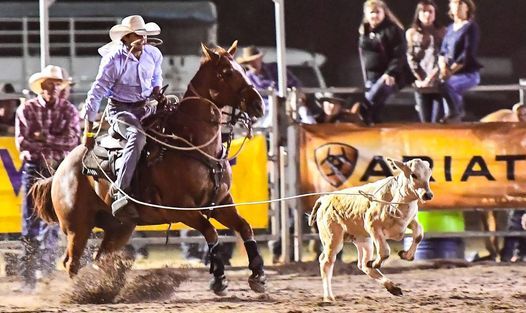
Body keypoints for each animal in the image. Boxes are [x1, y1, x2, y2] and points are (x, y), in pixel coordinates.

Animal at [31, 42, 266, 294]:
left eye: (242, 70)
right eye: (226, 73)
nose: (259, 104)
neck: (192, 143)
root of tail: (60, 172)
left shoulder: (221, 202)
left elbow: (245, 227)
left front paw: (258, 275)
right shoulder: (182, 210)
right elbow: (210, 231)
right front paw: (219, 278)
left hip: (120, 227)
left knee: (100, 258)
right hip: (78, 227)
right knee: (71, 262)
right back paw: (80, 293)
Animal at [310, 157, 434, 302]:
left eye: (429, 175)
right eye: (413, 175)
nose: (427, 195)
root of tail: (324, 199)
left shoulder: (409, 221)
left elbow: (418, 234)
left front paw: (405, 255)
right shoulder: (373, 226)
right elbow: (385, 251)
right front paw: (375, 263)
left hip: (363, 240)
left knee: (362, 264)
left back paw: (392, 287)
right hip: (333, 238)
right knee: (326, 262)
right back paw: (329, 297)